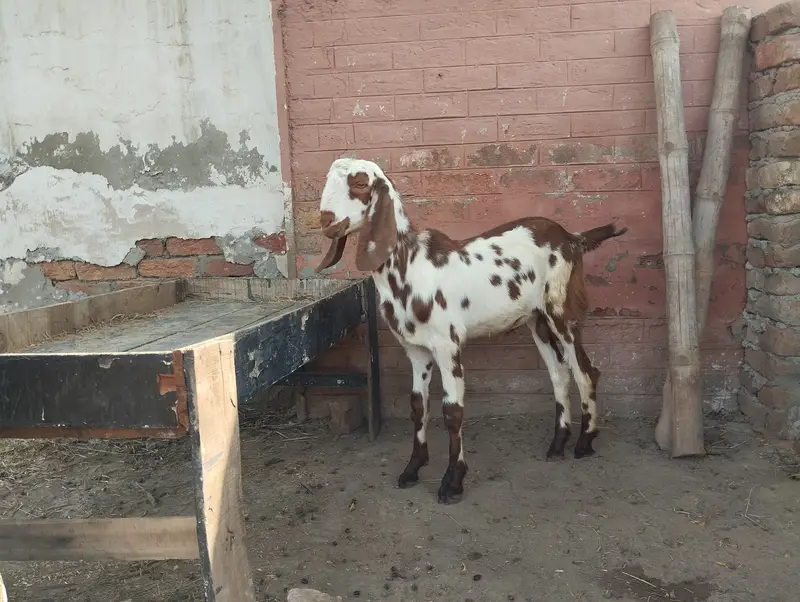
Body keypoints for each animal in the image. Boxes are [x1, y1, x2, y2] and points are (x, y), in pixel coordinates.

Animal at [314, 158, 628, 504]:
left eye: (359, 183)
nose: (325, 220)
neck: (410, 265)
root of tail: (572, 237)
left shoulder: (447, 345)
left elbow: (452, 411)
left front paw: (453, 481)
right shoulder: (416, 350)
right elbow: (418, 405)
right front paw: (413, 468)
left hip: (561, 310)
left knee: (585, 371)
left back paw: (585, 443)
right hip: (538, 320)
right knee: (559, 374)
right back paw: (558, 444)